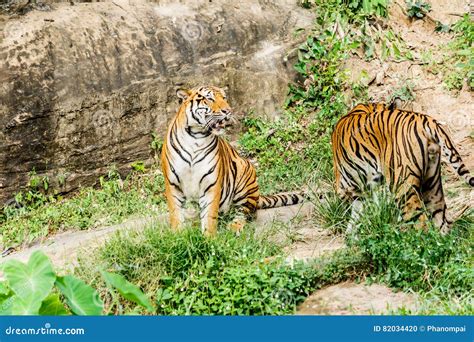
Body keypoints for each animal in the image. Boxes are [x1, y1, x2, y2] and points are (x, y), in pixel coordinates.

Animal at [161, 86, 306, 235]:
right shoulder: (172, 183)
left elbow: (209, 215)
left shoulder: (211, 184)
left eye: (224, 98)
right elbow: (175, 213)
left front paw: (208, 238)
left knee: (244, 212)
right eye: (209, 98)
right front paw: (177, 234)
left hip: (245, 176)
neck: (196, 137)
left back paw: (234, 227)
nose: (228, 110)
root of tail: (258, 196)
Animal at [332, 103, 472, 234]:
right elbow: (358, 213)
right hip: (432, 183)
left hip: (402, 185)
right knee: (442, 220)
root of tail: (427, 120)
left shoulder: (349, 185)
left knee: (420, 222)